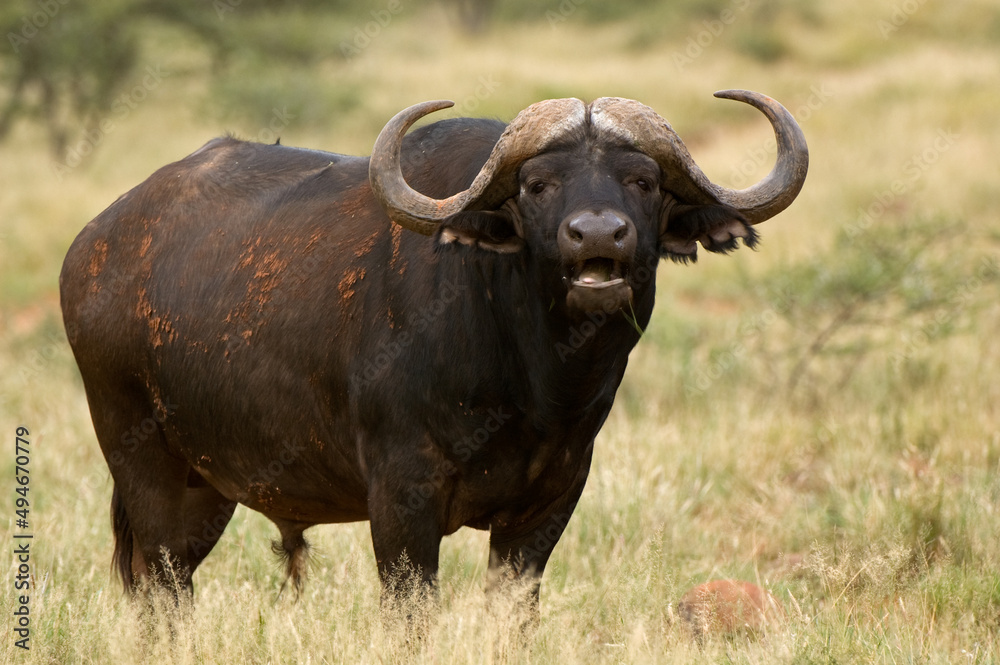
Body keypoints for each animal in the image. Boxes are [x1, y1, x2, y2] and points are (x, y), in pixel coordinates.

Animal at [60, 90, 807, 608]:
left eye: (642, 182)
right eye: (538, 185)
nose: (597, 234)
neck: (533, 383)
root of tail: (93, 245)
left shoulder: (550, 503)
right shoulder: (401, 500)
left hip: (207, 486)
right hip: (142, 462)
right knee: (160, 589)